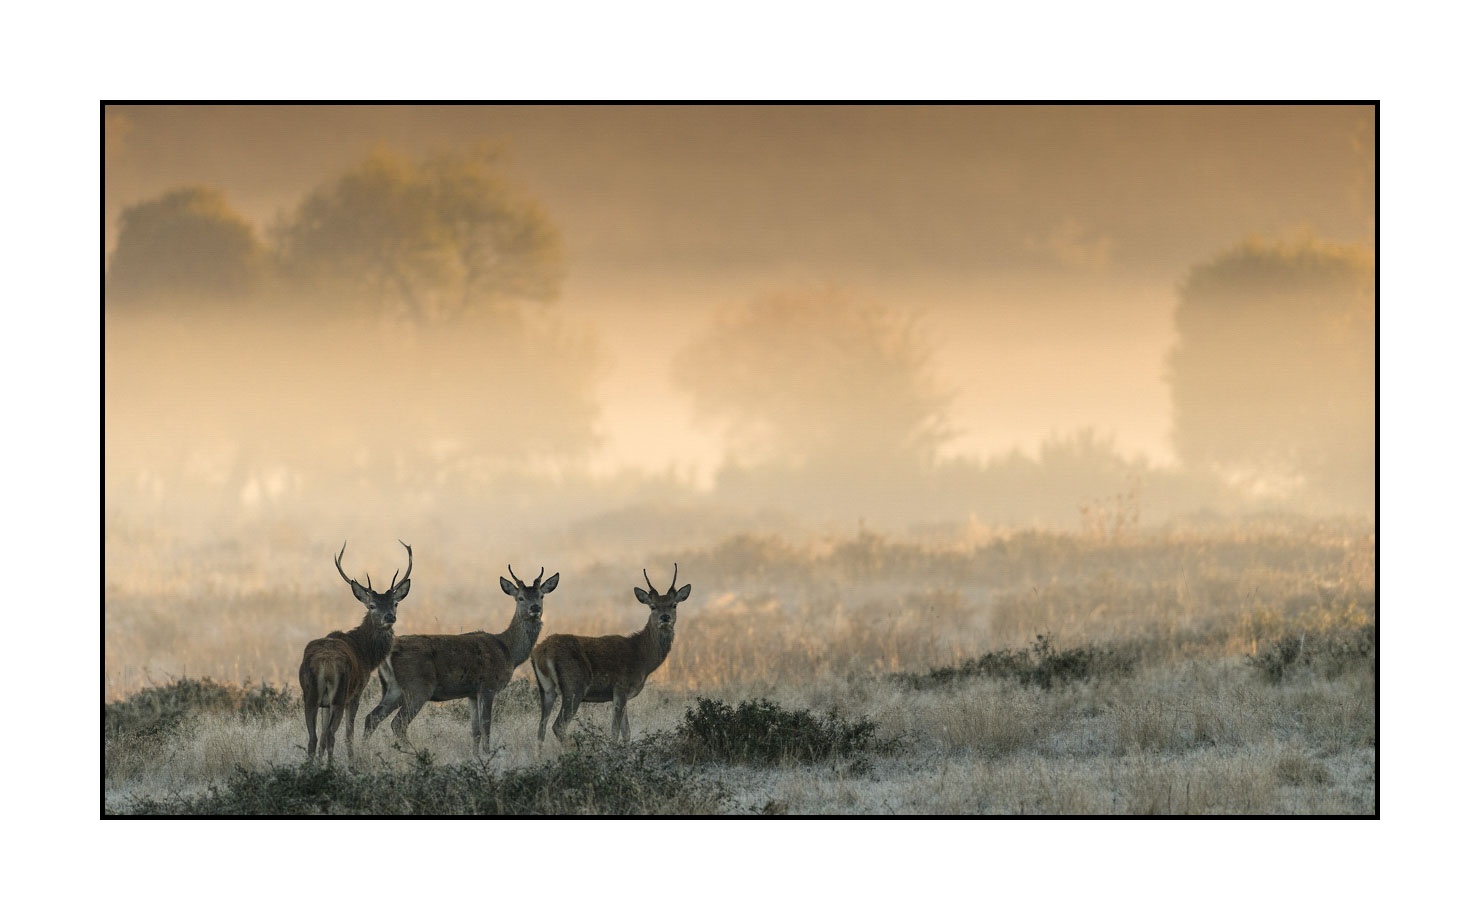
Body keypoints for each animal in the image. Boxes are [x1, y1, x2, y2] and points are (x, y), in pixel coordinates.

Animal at [298, 541, 411, 762]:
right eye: (372, 605)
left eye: (395, 603)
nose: (389, 617)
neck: (365, 653)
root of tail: (325, 665)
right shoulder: (357, 692)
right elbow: (348, 734)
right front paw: (352, 761)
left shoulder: (324, 704)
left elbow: (321, 737)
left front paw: (319, 763)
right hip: (340, 695)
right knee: (333, 735)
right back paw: (334, 766)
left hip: (310, 695)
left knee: (314, 738)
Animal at [364, 565, 557, 754]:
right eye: (520, 598)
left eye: (541, 596)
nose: (535, 608)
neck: (508, 651)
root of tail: (388, 653)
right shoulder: (488, 686)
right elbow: (486, 727)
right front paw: (488, 755)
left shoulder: (471, 693)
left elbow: (475, 731)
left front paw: (476, 758)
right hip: (418, 686)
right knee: (398, 723)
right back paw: (416, 753)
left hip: (394, 688)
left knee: (372, 717)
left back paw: (362, 750)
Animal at [532, 563, 691, 745]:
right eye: (652, 606)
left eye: (674, 604)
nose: (665, 617)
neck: (642, 658)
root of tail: (540, 653)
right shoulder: (621, 687)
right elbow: (615, 733)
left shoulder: (623, 694)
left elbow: (626, 733)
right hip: (574, 686)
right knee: (558, 726)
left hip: (545, 689)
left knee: (541, 729)